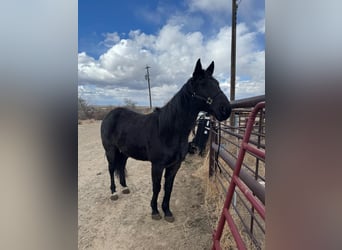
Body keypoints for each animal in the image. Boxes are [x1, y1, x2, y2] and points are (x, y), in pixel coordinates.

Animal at [100, 59, 231, 223]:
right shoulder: (157, 165)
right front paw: (155, 211)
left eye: (217, 83)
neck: (168, 131)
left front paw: (167, 211)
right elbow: (157, 187)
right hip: (110, 150)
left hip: (123, 152)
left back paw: (124, 188)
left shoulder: (175, 165)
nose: (226, 109)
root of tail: (110, 115)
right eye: (202, 84)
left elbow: (168, 187)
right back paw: (113, 193)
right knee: (111, 169)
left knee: (121, 166)